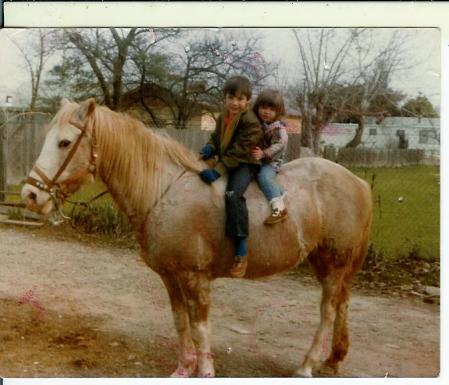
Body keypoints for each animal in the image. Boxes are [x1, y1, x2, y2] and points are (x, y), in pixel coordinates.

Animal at [21, 97, 372, 376]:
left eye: (65, 143)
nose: (30, 195)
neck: (164, 191)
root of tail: (358, 182)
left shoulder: (195, 277)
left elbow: (201, 326)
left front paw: (204, 370)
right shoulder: (170, 277)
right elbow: (181, 322)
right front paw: (183, 368)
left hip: (334, 264)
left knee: (328, 311)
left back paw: (308, 365)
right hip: (323, 262)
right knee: (342, 303)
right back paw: (333, 359)